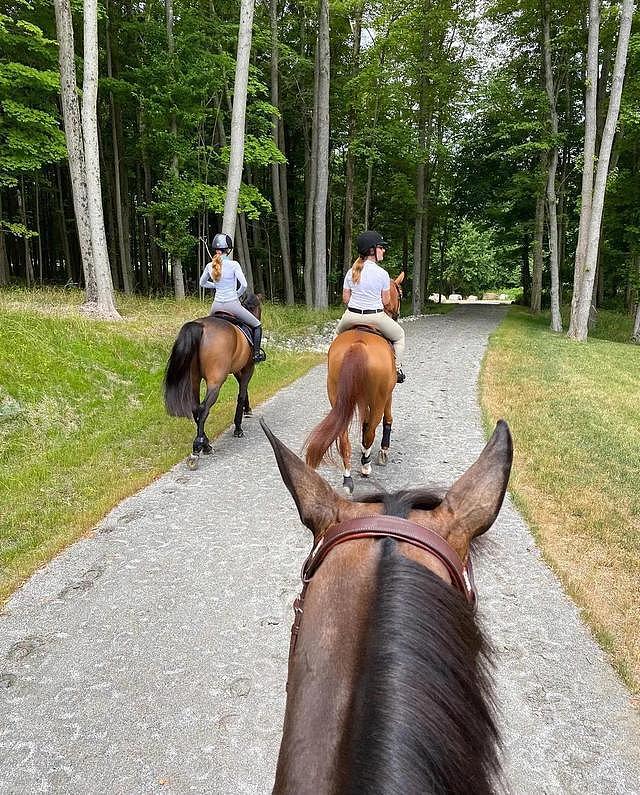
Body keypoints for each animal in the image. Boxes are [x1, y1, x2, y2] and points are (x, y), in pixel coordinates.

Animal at [166, 294, 264, 470]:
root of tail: (201, 327)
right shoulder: (248, 368)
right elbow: (241, 393)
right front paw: (238, 427)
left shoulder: (237, 369)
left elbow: (243, 390)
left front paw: (247, 410)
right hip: (215, 381)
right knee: (204, 408)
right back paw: (198, 448)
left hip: (194, 379)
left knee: (195, 408)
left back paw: (205, 445)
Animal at [304, 276, 404, 498]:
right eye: (400, 294)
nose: (397, 314)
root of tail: (358, 344)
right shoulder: (388, 395)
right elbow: (387, 420)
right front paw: (384, 450)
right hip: (378, 399)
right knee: (369, 433)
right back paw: (365, 465)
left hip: (336, 396)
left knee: (344, 439)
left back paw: (348, 477)